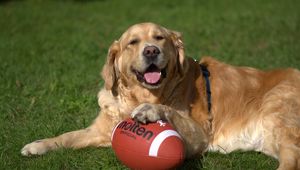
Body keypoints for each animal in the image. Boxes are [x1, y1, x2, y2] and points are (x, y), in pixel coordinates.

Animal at [21, 22, 300, 169]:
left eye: (159, 38)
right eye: (133, 42)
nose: (152, 50)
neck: (146, 94)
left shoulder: (200, 136)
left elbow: (171, 113)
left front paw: (150, 111)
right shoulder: (100, 130)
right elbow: (67, 136)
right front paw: (38, 145)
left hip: (277, 113)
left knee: (291, 159)